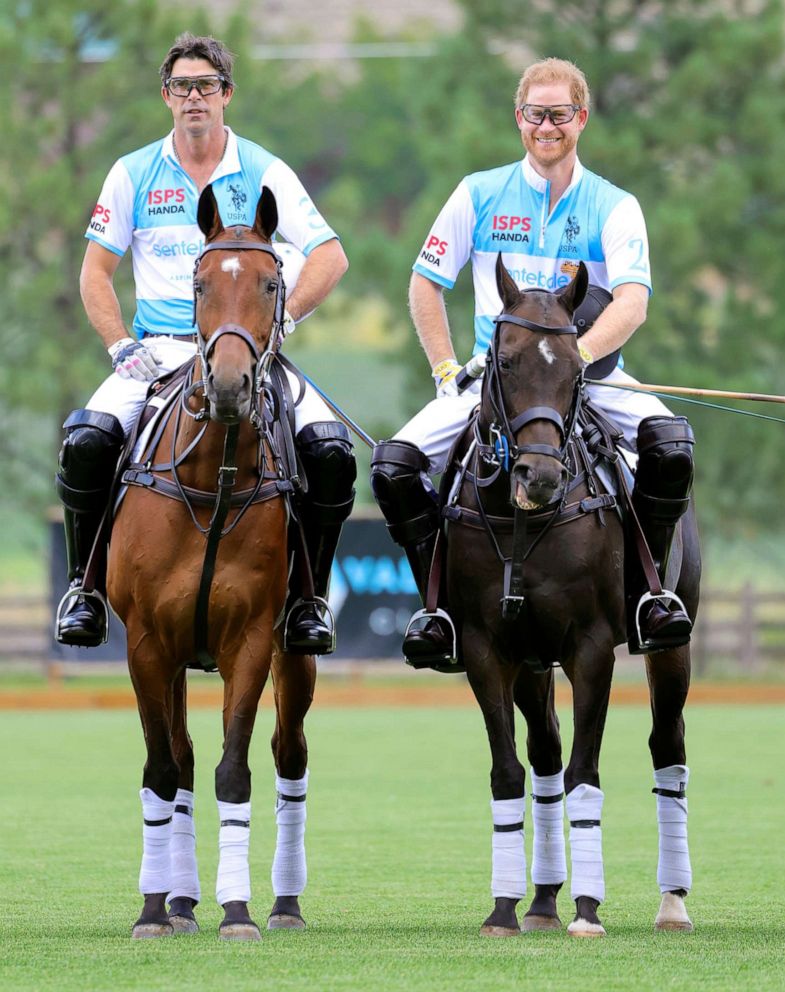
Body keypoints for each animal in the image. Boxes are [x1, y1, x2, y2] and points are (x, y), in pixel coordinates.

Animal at [108, 184, 316, 936]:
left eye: (270, 283)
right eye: (198, 285)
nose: (228, 387)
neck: (212, 479)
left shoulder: (251, 638)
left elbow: (235, 769)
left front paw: (238, 910)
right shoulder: (146, 642)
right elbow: (163, 771)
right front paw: (152, 909)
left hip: (294, 650)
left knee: (290, 756)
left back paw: (283, 903)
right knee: (181, 758)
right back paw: (177, 900)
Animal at [440, 256, 700, 936]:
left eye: (577, 368)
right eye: (503, 362)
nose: (541, 477)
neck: (521, 521)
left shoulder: (592, 647)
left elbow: (587, 771)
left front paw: (588, 909)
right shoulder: (486, 648)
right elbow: (510, 772)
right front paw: (505, 909)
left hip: (674, 640)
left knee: (667, 747)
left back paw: (672, 903)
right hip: (532, 661)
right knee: (546, 753)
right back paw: (541, 900)